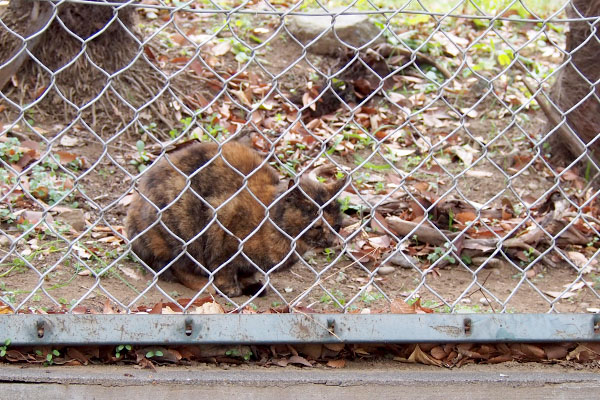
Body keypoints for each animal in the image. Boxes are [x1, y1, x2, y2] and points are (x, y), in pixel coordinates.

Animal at [124, 141, 344, 296]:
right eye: (316, 226)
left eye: (337, 226)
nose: (333, 241)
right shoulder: (223, 227)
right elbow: (225, 268)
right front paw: (230, 289)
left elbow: (247, 271)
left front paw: (251, 284)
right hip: (182, 224)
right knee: (177, 266)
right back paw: (205, 285)